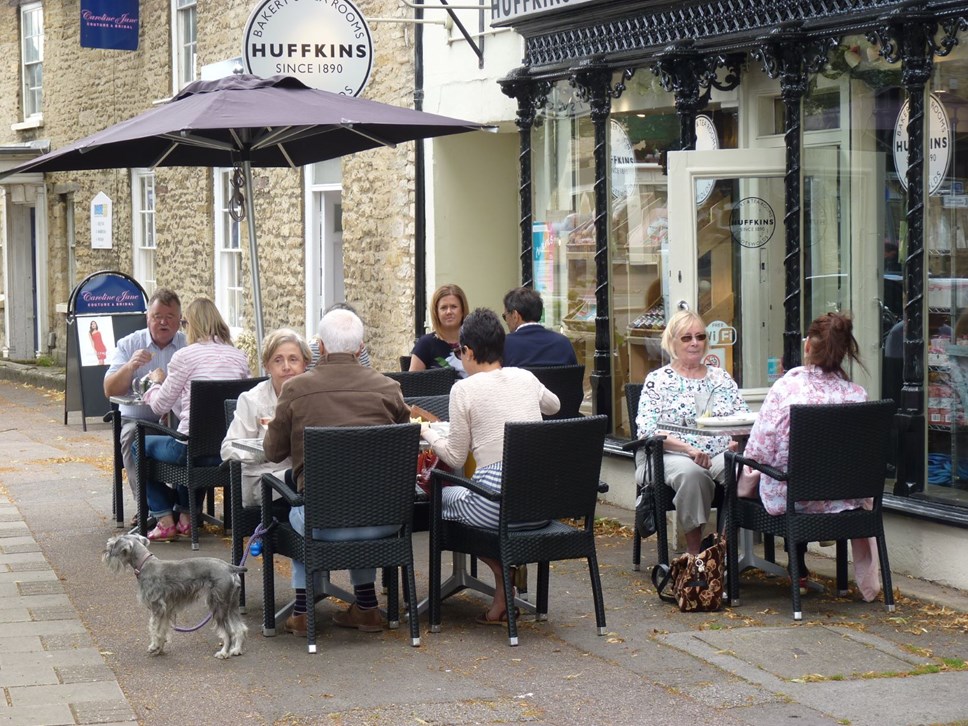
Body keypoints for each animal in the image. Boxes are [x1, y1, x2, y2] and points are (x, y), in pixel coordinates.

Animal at [103, 536, 248, 660]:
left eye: (113, 544)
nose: (105, 552)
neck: (144, 564)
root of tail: (229, 567)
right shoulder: (165, 611)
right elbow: (161, 629)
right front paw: (159, 647)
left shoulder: (157, 607)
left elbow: (153, 627)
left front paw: (154, 646)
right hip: (232, 605)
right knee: (239, 628)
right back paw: (236, 650)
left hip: (218, 605)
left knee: (228, 632)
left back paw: (224, 653)